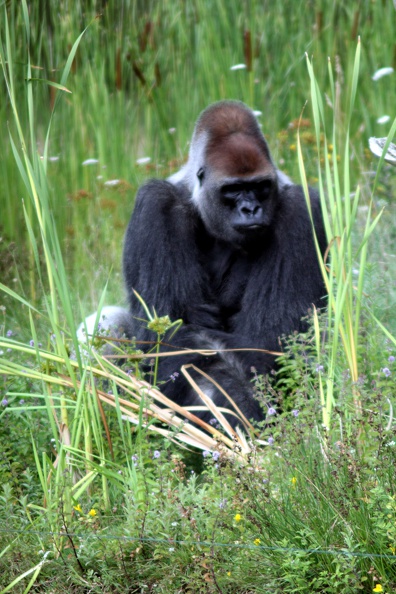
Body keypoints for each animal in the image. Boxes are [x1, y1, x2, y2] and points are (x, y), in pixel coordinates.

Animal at [82, 102, 326, 426]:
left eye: (261, 186)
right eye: (232, 189)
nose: (251, 209)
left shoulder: (301, 210)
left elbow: (274, 332)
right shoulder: (157, 203)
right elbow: (173, 331)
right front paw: (231, 402)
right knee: (105, 322)